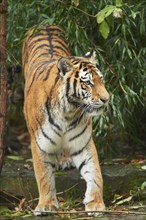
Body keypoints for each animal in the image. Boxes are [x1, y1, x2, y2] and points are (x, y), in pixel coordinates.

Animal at [22, 24, 109, 216]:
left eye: (101, 79)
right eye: (88, 83)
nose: (107, 99)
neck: (67, 111)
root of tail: (45, 24)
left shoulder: (83, 143)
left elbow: (95, 173)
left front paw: (96, 203)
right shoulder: (40, 144)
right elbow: (43, 177)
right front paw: (46, 205)